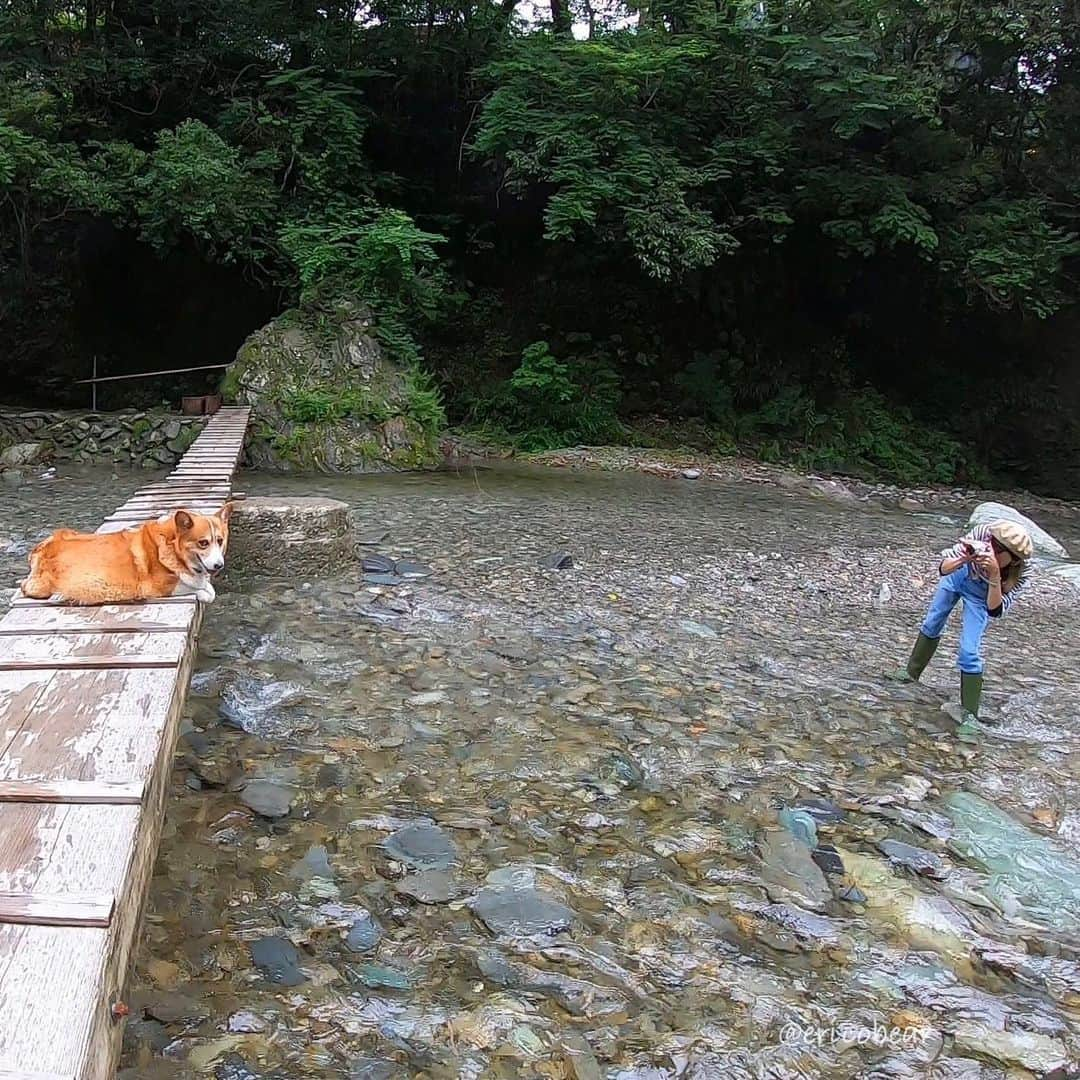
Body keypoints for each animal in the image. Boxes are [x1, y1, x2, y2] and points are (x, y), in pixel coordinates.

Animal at [20, 505, 234, 609]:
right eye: (203, 543)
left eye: (220, 540)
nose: (219, 565)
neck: (172, 546)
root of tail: (42, 547)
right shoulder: (157, 586)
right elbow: (203, 589)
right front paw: (202, 592)